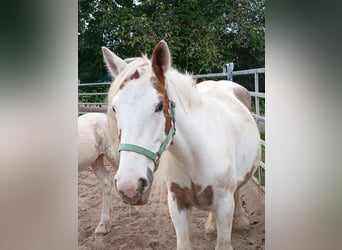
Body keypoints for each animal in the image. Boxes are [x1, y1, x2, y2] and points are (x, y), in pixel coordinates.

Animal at [101, 40, 260, 249]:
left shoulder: (224, 202)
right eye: (114, 108)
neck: (195, 155)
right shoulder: (177, 203)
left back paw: (241, 221)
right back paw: (211, 226)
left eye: (159, 106)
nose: (129, 186)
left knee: (238, 190)